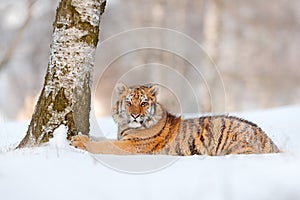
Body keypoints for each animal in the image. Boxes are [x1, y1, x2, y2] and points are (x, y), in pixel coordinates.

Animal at [71, 82, 280, 155]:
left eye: (144, 103)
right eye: (129, 102)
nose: (135, 115)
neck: (125, 126)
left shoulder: (132, 146)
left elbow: (103, 146)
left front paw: (78, 141)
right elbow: (102, 140)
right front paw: (82, 136)